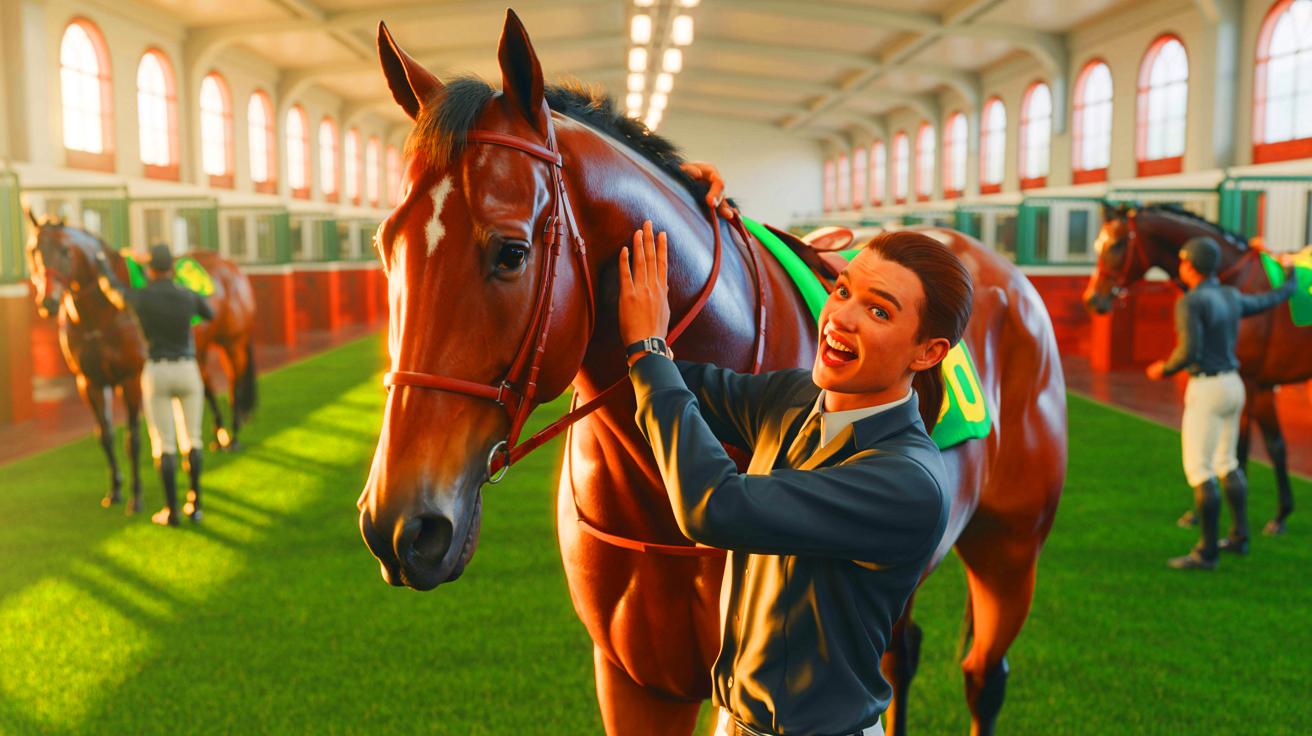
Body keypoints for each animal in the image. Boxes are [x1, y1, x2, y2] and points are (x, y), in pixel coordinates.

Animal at [26, 217, 259, 509]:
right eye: (32, 251)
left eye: (66, 251)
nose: (48, 302)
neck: (103, 314)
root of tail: (231, 267)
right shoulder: (89, 382)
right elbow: (105, 436)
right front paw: (115, 489)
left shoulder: (132, 379)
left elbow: (133, 438)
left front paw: (135, 497)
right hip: (199, 351)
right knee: (207, 389)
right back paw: (220, 436)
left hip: (233, 344)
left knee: (234, 385)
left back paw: (234, 437)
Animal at [357, 12, 1066, 736]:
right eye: (385, 245)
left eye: (511, 252)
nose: (400, 525)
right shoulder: (637, 680)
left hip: (1011, 551)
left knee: (983, 676)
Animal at [1082, 203, 1312, 535]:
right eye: (1097, 245)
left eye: (1116, 245)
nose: (1092, 300)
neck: (1235, 282)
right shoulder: (1263, 386)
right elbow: (1273, 446)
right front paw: (1279, 515)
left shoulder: (1248, 382)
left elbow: (1241, 450)